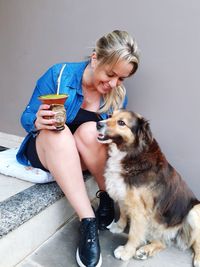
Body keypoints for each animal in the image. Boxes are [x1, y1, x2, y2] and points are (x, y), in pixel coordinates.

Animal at [96, 110, 200, 266]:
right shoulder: (123, 194)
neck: (133, 153)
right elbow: (123, 213)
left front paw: (126, 252)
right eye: (110, 115)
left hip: (194, 210)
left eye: (121, 122)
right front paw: (119, 227)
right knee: (162, 243)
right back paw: (144, 251)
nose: (98, 124)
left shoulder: (140, 209)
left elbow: (133, 234)